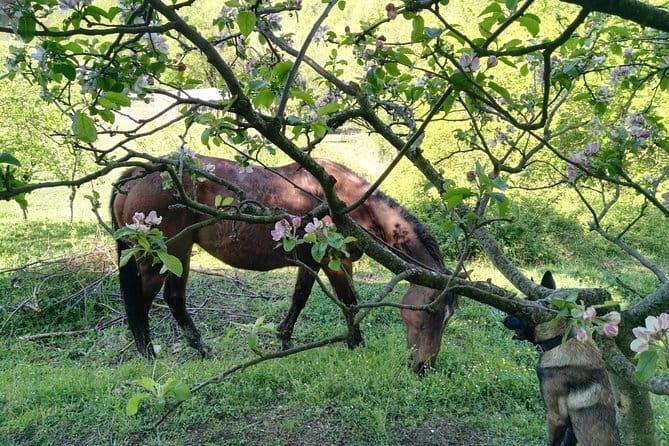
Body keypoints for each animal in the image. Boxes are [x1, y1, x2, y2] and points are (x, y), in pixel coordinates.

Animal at [111, 155, 457, 372]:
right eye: (430, 312)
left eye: (448, 316)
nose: (424, 367)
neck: (344, 202)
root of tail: (135, 176)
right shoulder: (329, 261)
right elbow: (338, 300)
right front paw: (351, 343)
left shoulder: (325, 262)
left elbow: (322, 300)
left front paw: (295, 339)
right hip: (160, 256)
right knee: (142, 302)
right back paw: (149, 353)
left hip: (178, 256)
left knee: (174, 299)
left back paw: (201, 349)